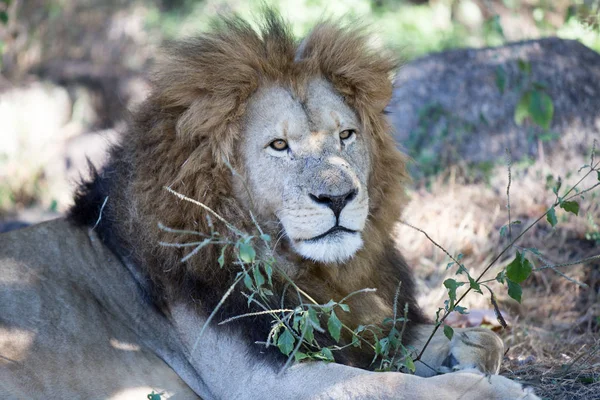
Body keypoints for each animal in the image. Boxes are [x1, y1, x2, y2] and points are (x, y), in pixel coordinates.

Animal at [0, 10, 540, 398]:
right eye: (279, 146)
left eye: (346, 136)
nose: (338, 197)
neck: (309, 271)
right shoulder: (263, 379)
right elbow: (388, 384)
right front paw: (490, 388)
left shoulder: (363, 327)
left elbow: (474, 339)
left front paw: (468, 353)